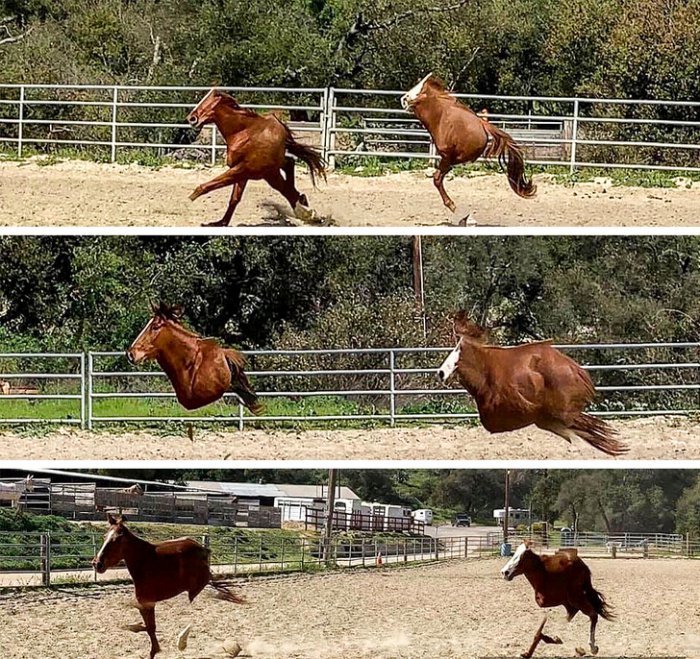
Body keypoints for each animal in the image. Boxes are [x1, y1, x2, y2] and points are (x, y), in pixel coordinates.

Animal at [92, 516, 246, 659]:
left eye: (117, 540)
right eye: (105, 536)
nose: (97, 563)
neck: (144, 562)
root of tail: (201, 548)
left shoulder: (148, 602)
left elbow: (150, 627)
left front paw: (155, 650)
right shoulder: (144, 602)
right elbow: (147, 626)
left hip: (197, 586)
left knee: (207, 593)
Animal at [186, 89, 328, 227]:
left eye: (211, 99)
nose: (192, 118)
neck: (241, 133)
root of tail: (281, 129)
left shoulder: (245, 169)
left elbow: (207, 186)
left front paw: (190, 199)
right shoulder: (242, 173)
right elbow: (234, 199)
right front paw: (220, 223)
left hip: (270, 173)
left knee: (287, 184)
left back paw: (307, 212)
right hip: (273, 170)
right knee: (289, 168)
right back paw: (304, 205)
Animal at [400, 74, 536, 214]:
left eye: (420, 92)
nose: (403, 99)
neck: (441, 118)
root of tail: (483, 124)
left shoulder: (446, 156)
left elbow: (437, 179)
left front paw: (451, 205)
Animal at [438, 312, 628, 456]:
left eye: (459, 349)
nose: (441, 372)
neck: (487, 376)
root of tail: (576, 370)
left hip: (560, 413)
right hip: (554, 417)